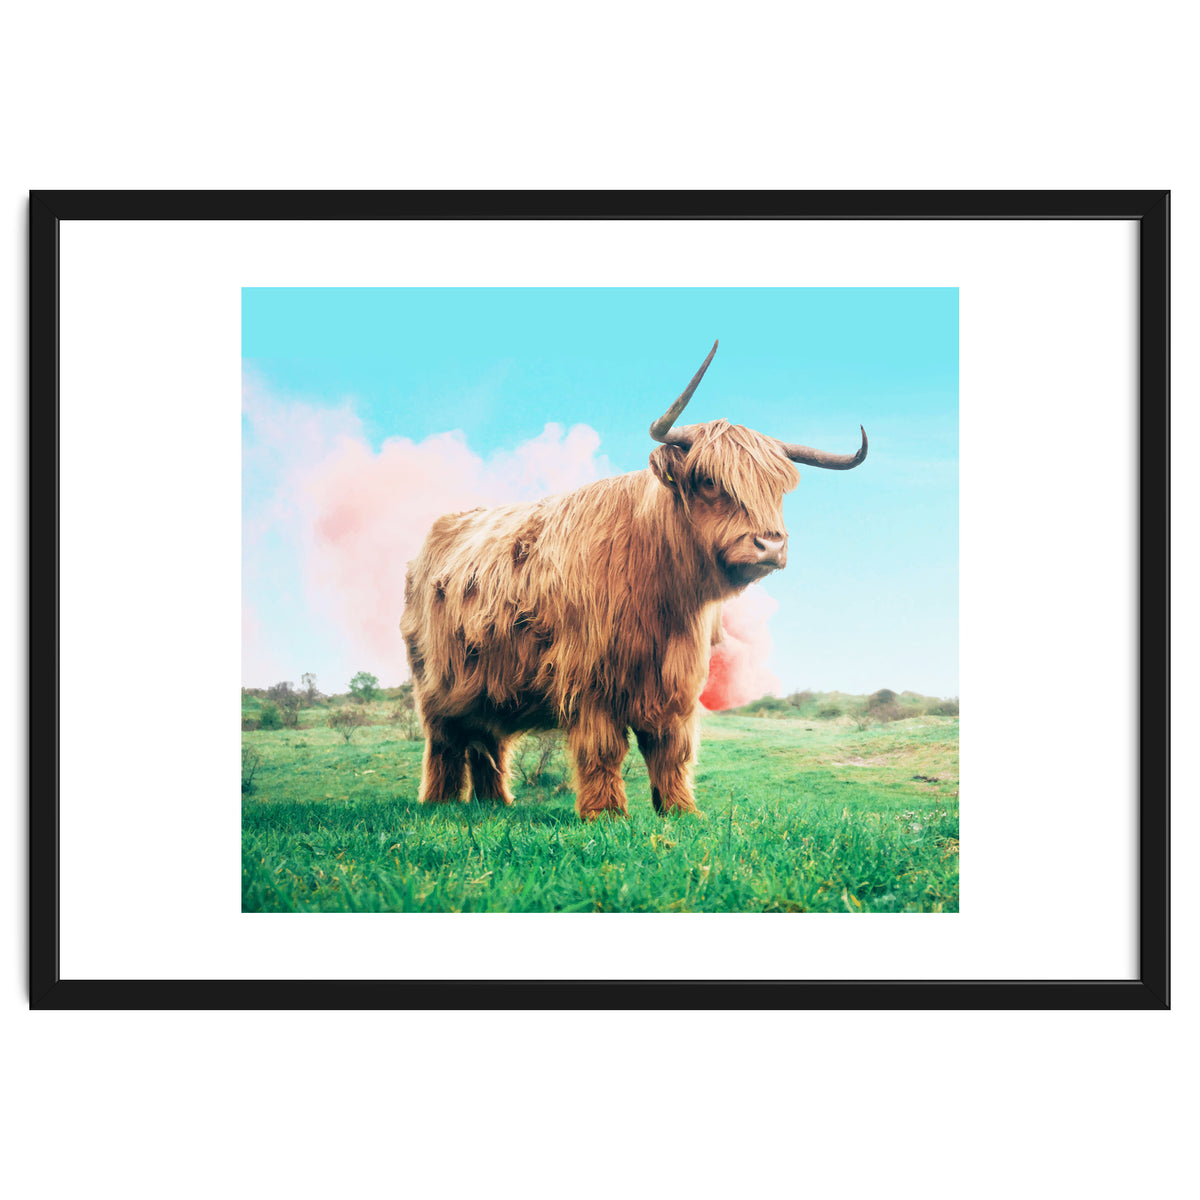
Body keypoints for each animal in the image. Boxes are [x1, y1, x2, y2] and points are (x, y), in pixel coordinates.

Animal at [400, 341, 867, 819]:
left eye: (777, 490)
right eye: (709, 481)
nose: (770, 545)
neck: (662, 594)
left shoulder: (676, 681)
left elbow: (671, 749)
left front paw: (680, 810)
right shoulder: (590, 677)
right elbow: (603, 749)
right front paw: (605, 814)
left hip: (487, 685)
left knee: (487, 740)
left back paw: (495, 803)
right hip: (436, 684)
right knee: (445, 741)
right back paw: (440, 802)